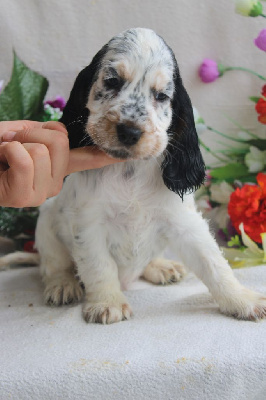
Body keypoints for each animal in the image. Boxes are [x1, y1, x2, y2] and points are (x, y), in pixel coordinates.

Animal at [11, 28, 266, 324]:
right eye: (112, 81)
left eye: (162, 96)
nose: (129, 131)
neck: (128, 172)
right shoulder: (88, 224)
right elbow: (99, 266)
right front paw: (107, 303)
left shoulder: (185, 222)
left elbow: (213, 262)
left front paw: (243, 299)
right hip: (46, 222)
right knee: (53, 265)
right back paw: (63, 284)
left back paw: (162, 267)